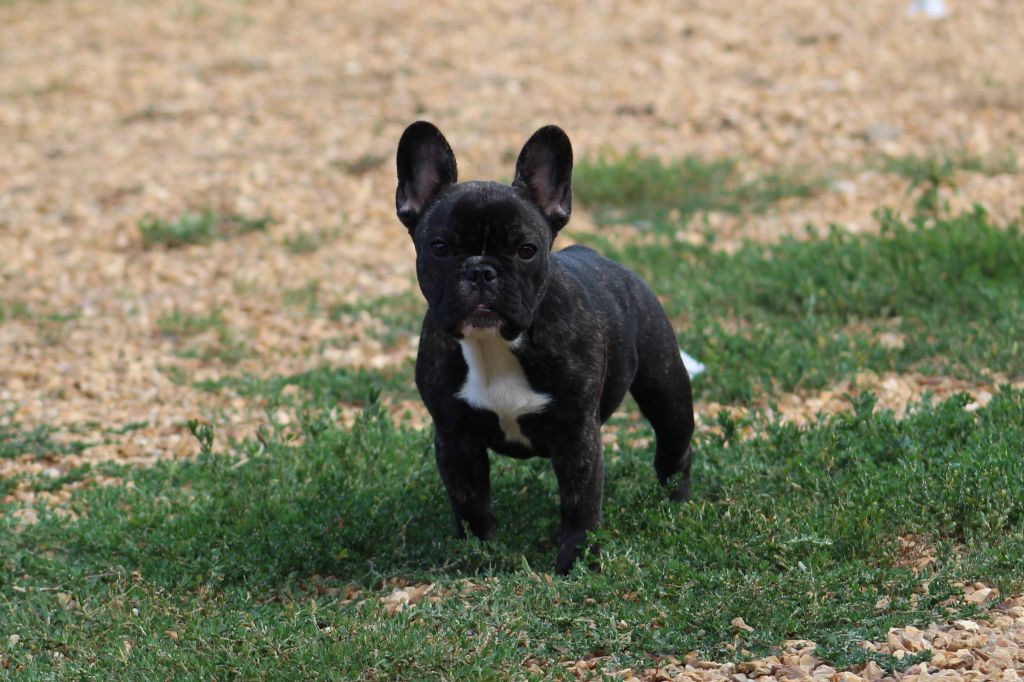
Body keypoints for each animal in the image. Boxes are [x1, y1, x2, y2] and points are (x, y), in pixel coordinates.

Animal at [393, 122, 696, 573]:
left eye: (526, 250)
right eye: (440, 248)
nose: (481, 270)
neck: (495, 344)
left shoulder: (577, 436)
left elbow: (580, 505)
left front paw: (576, 561)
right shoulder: (454, 436)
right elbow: (470, 502)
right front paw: (480, 552)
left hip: (667, 391)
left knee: (674, 450)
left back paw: (674, 503)